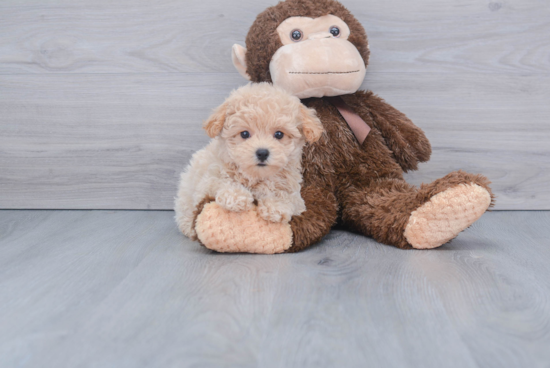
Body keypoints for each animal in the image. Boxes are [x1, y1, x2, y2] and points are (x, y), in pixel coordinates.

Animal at [175, 82, 326, 240]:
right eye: (244, 134)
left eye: (279, 134)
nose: (262, 153)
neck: (256, 177)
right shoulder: (207, 180)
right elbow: (221, 180)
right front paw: (236, 196)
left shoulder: (296, 197)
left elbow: (285, 195)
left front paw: (276, 206)